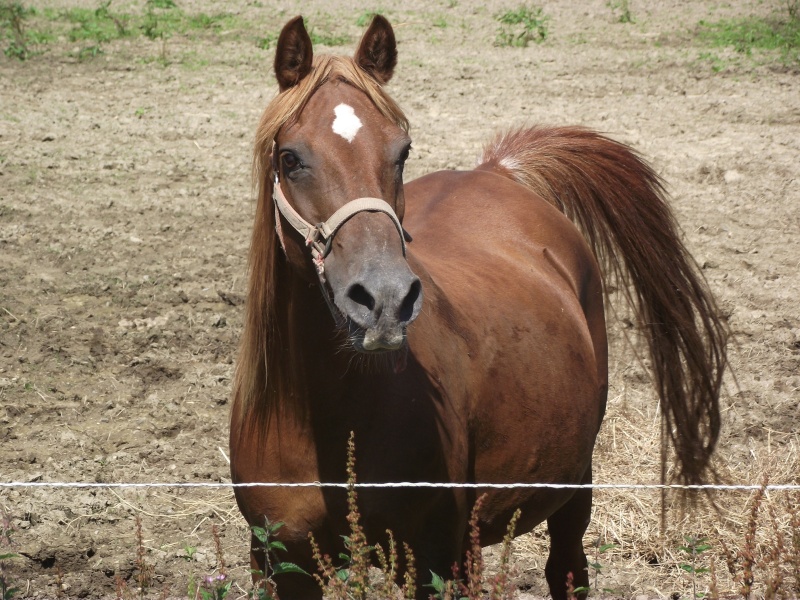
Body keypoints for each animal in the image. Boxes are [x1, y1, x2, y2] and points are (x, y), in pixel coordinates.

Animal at [228, 15, 728, 600]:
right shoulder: (278, 560)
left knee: (568, 568)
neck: (328, 415)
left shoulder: (437, 559)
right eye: (290, 158)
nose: (384, 300)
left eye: (402, 151)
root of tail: (499, 171)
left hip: (572, 483)